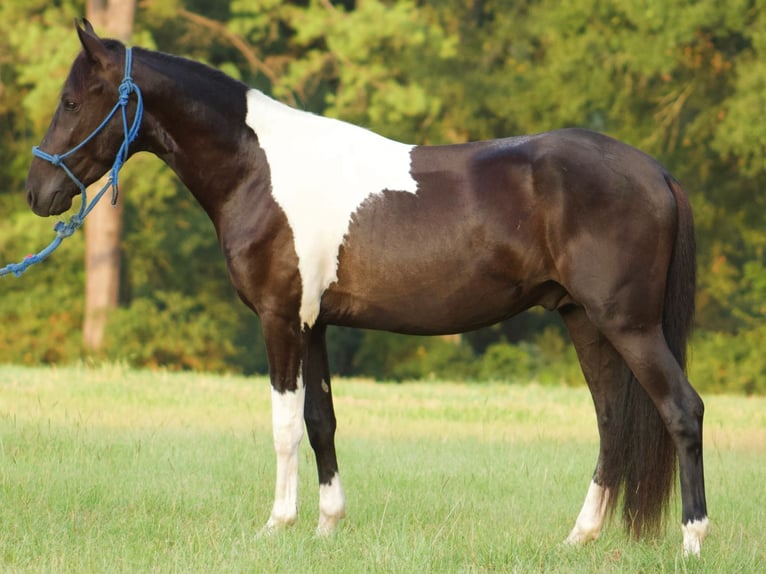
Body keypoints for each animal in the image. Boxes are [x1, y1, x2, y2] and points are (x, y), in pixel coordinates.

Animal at [24, 22, 712, 560]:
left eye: (71, 101)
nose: (36, 192)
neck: (258, 169)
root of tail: (656, 171)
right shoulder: (314, 323)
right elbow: (321, 421)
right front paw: (328, 527)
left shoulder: (279, 318)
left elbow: (284, 424)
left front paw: (277, 525)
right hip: (583, 321)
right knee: (612, 422)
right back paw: (580, 537)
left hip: (627, 325)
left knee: (682, 409)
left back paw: (692, 539)